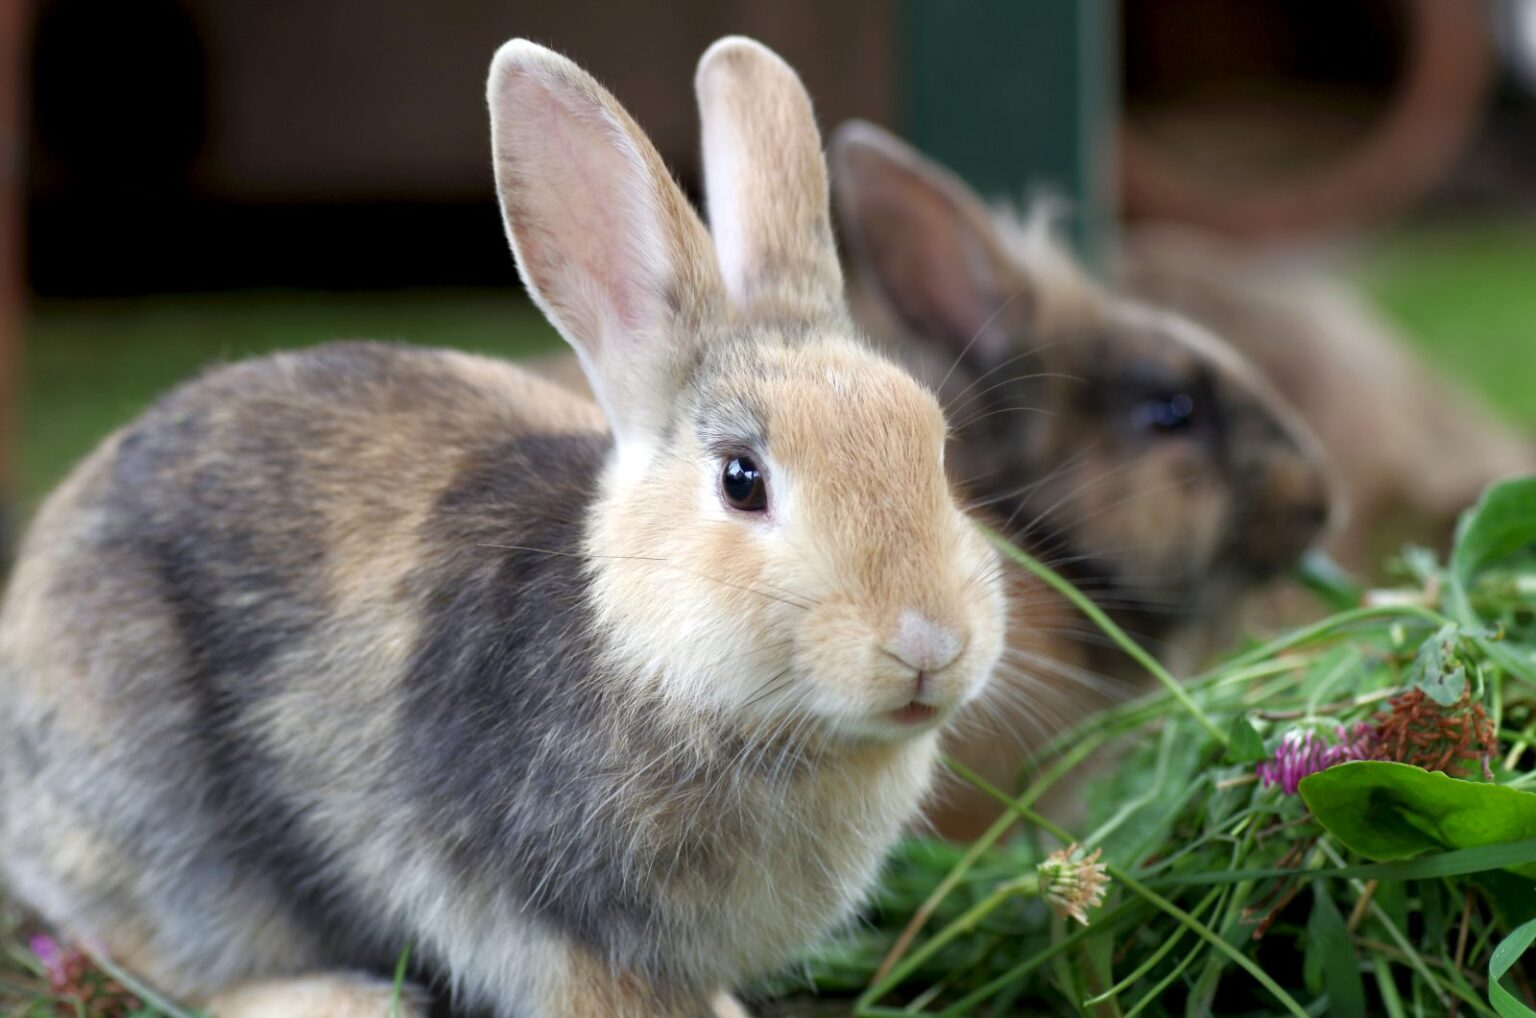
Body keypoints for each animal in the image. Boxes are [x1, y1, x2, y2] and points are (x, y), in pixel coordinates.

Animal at [0, 38, 1007, 1018]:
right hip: (171, 835)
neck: (651, 659)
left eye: (936, 449)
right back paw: (343, 1000)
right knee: (148, 956)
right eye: (742, 480)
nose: (928, 644)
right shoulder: (549, 928)